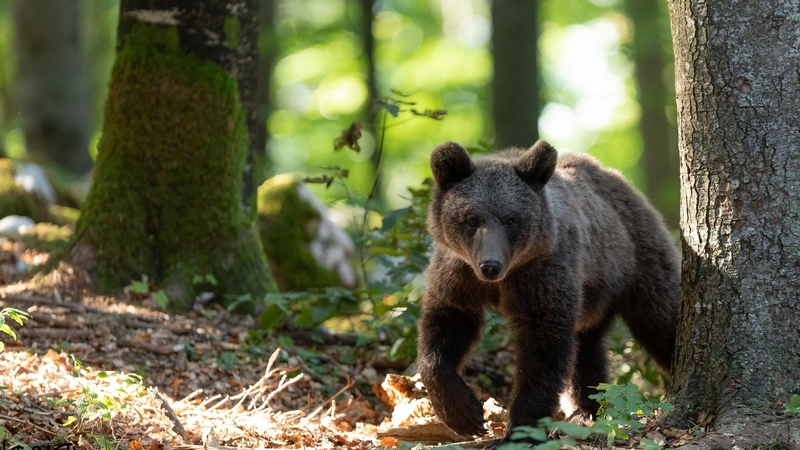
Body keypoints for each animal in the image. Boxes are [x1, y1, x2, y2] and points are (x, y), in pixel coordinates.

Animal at [417, 140, 680, 439]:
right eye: (472, 219)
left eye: (511, 219)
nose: (490, 266)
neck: (506, 278)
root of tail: (617, 177)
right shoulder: (458, 274)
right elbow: (446, 324)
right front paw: (465, 414)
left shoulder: (544, 275)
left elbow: (543, 348)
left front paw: (517, 430)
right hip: (593, 297)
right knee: (587, 351)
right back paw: (589, 407)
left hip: (635, 260)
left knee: (660, 319)